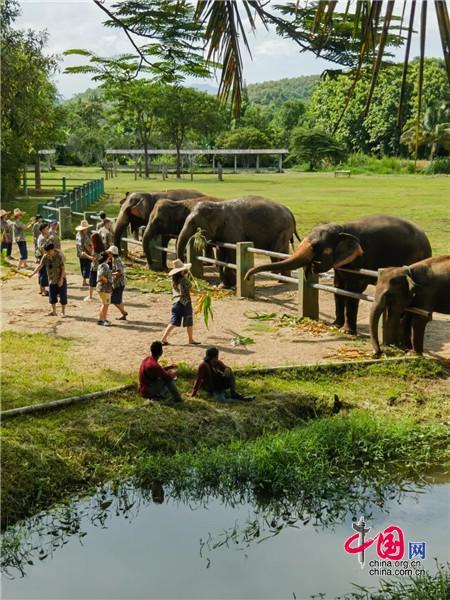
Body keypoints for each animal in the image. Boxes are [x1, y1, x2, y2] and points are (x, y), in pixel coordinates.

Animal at [245, 215, 432, 334]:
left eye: (318, 248)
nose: (247, 277)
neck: (343, 228)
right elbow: (337, 288)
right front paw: (335, 325)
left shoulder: (362, 259)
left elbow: (352, 291)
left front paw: (347, 331)